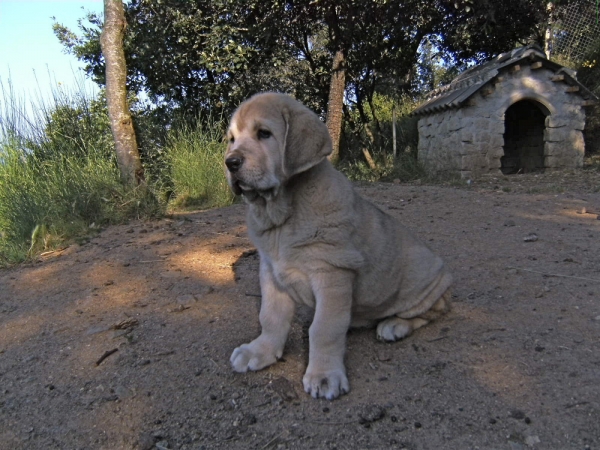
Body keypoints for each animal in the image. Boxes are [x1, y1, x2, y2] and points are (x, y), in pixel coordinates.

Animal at [227, 93, 452, 400]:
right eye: (231, 139)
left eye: (264, 133)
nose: (230, 162)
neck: (284, 215)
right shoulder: (271, 272)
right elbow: (271, 317)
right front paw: (260, 351)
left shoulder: (333, 272)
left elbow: (324, 328)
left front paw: (324, 375)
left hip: (425, 279)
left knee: (435, 308)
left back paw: (394, 325)